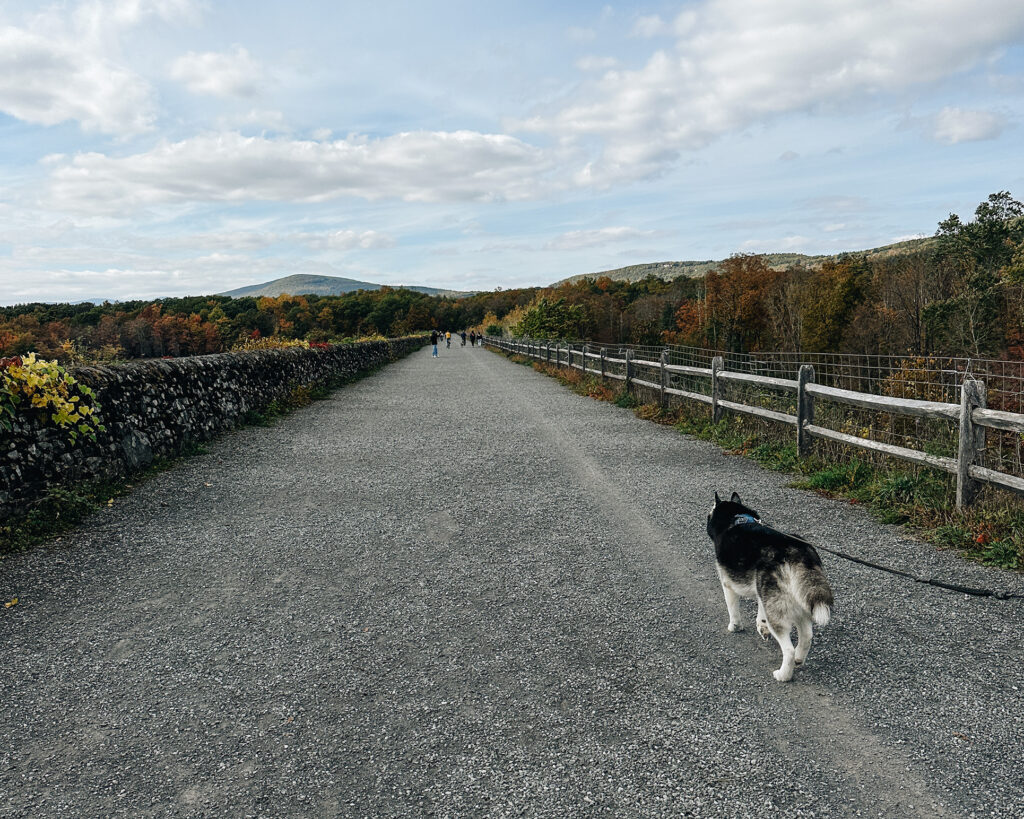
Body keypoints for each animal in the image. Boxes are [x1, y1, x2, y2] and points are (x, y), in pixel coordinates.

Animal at [708, 493, 835, 679]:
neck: (736, 518)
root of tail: (797, 551)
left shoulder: (728, 584)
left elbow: (733, 610)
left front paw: (734, 627)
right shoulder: (762, 593)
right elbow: (761, 614)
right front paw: (762, 626)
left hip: (779, 613)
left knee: (788, 650)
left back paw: (783, 675)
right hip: (798, 604)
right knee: (807, 637)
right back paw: (799, 658)